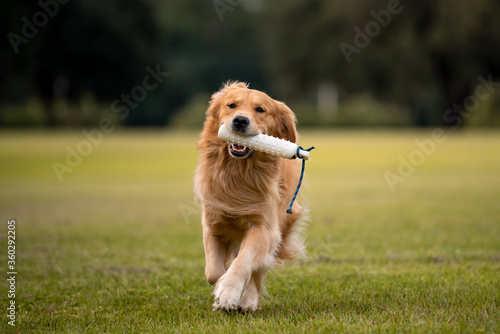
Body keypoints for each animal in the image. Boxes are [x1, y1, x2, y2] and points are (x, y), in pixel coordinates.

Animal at [194, 81, 304, 314]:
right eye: (231, 105)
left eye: (260, 109)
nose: (240, 120)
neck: (237, 173)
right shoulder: (211, 223)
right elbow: (213, 271)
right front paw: (220, 288)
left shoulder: (263, 227)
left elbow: (244, 261)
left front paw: (229, 292)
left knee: (258, 269)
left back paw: (248, 301)